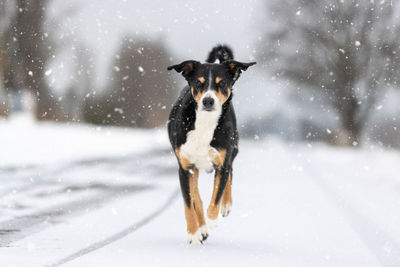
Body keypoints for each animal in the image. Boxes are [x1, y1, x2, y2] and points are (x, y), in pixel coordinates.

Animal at [166, 45, 255, 245]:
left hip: (232, 150)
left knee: (230, 173)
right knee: (196, 197)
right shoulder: (184, 167)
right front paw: (194, 232)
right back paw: (202, 229)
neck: (205, 122)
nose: (208, 100)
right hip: (194, 167)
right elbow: (189, 203)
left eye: (221, 83)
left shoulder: (222, 162)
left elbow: (217, 194)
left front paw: (213, 219)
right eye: (199, 83)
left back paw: (226, 206)